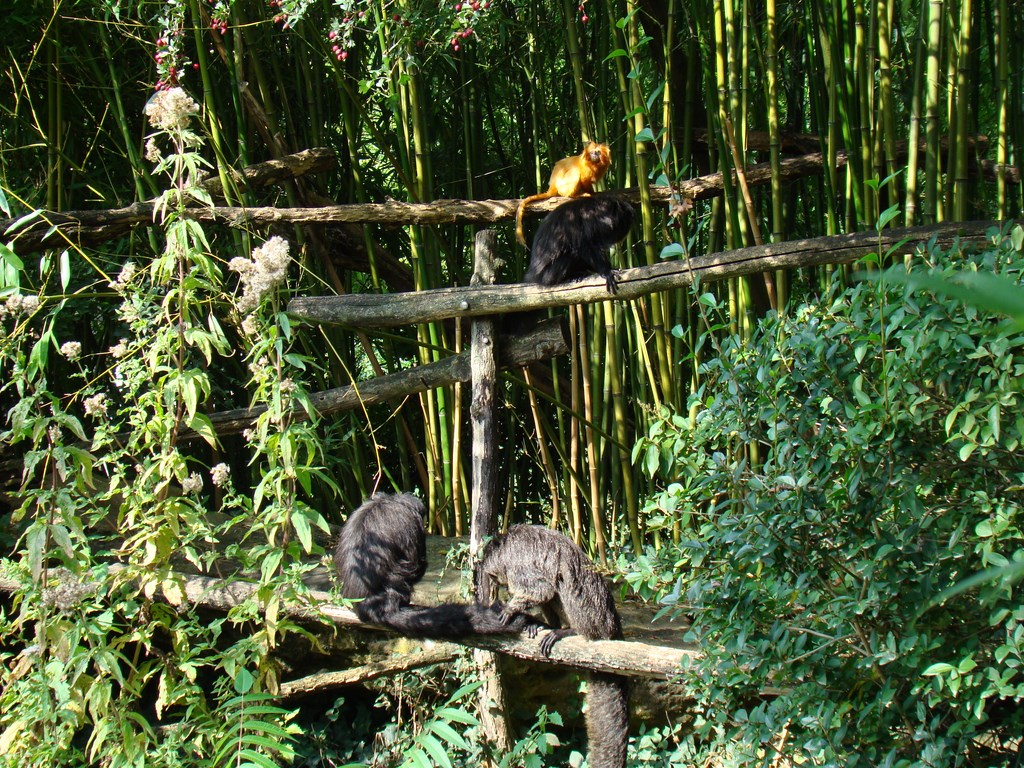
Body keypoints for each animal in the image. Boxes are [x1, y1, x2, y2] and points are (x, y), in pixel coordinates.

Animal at [481, 525, 629, 768]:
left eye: (497, 578)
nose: (501, 585)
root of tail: (613, 625)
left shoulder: (516, 562)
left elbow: (540, 589)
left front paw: (512, 609)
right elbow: (543, 594)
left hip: (595, 615)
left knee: (564, 581)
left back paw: (570, 630)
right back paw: (547, 625)